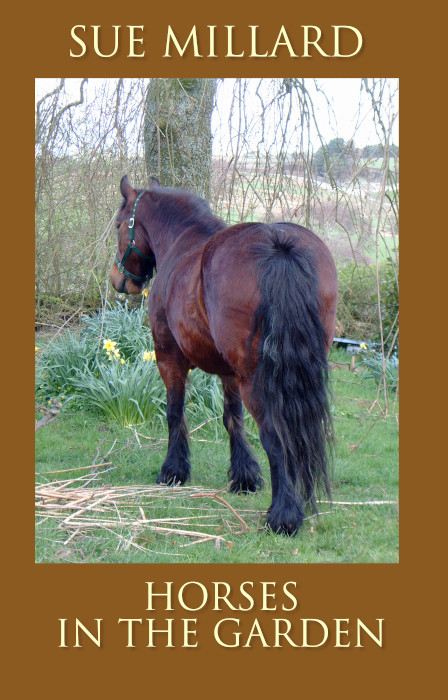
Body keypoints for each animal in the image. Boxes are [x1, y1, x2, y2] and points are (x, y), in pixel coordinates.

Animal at [110, 176, 338, 536]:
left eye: (119, 224)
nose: (117, 280)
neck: (182, 242)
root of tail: (278, 245)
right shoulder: (229, 372)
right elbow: (233, 418)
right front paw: (244, 476)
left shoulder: (168, 358)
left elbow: (175, 413)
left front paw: (173, 471)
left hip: (255, 381)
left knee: (276, 437)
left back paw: (283, 516)